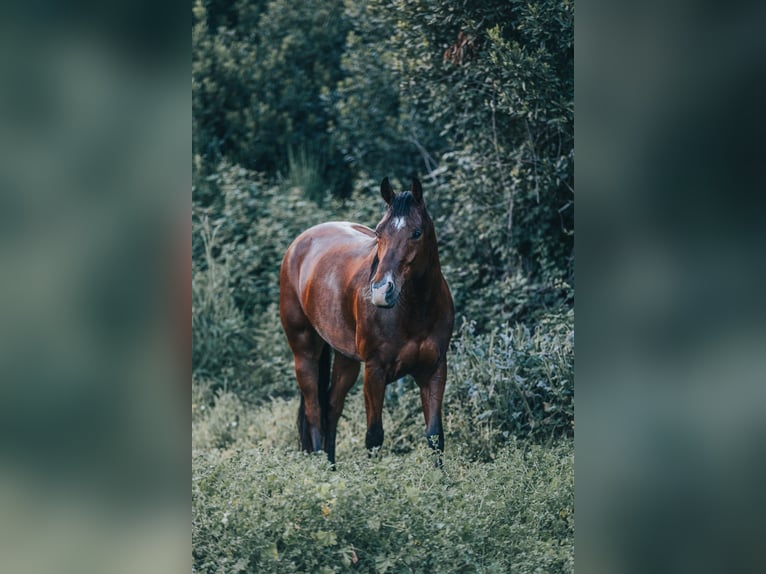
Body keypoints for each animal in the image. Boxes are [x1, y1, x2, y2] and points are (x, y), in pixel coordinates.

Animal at [279, 177, 455, 464]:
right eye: (379, 233)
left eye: (416, 232)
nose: (382, 291)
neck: (415, 311)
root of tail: (299, 244)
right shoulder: (375, 372)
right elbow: (374, 437)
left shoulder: (435, 369)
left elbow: (435, 437)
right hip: (304, 352)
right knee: (315, 410)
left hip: (346, 359)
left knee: (331, 407)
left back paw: (331, 466)